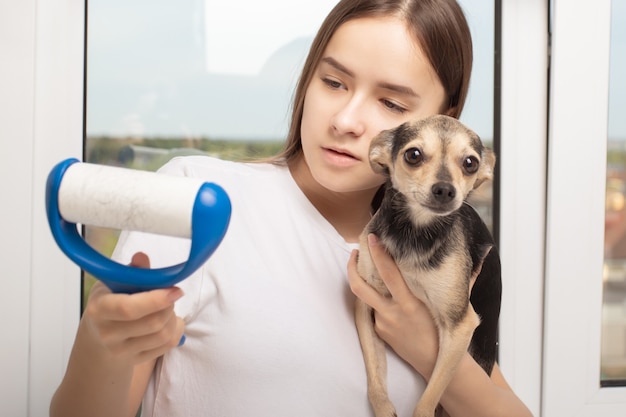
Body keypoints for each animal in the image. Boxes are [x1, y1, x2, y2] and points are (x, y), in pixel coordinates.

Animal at [354, 114, 500, 416]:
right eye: (413, 155)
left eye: (470, 163)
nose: (445, 189)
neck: (414, 232)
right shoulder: (366, 304)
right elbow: (375, 382)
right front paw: (384, 408)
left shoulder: (459, 326)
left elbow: (426, 402)